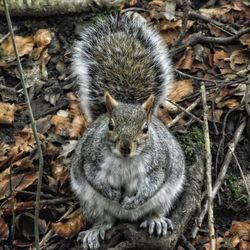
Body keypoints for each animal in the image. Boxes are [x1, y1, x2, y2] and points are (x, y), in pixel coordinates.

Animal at [70, 13, 186, 250]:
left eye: (145, 128)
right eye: (110, 125)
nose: (125, 147)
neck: (125, 160)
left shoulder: (159, 163)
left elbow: (153, 182)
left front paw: (134, 201)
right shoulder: (90, 157)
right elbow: (92, 175)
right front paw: (112, 194)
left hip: (167, 196)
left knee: (155, 209)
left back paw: (155, 221)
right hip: (90, 202)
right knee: (104, 221)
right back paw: (95, 231)